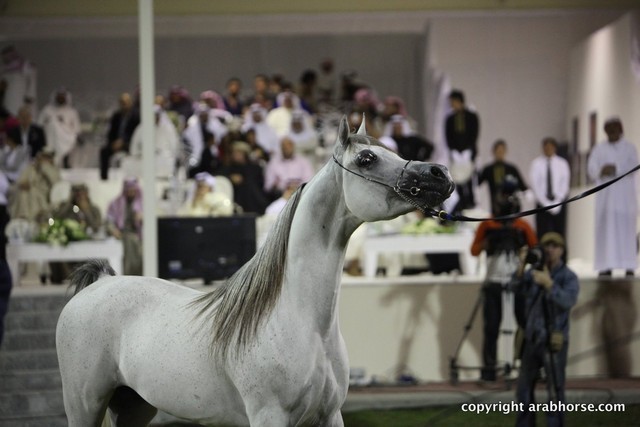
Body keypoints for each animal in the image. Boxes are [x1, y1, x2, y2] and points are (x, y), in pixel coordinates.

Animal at [56, 115, 454, 427]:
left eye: (394, 150)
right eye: (367, 158)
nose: (441, 173)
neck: (302, 320)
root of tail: (100, 283)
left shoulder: (330, 416)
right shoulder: (269, 416)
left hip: (133, 406)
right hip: (83, 404)